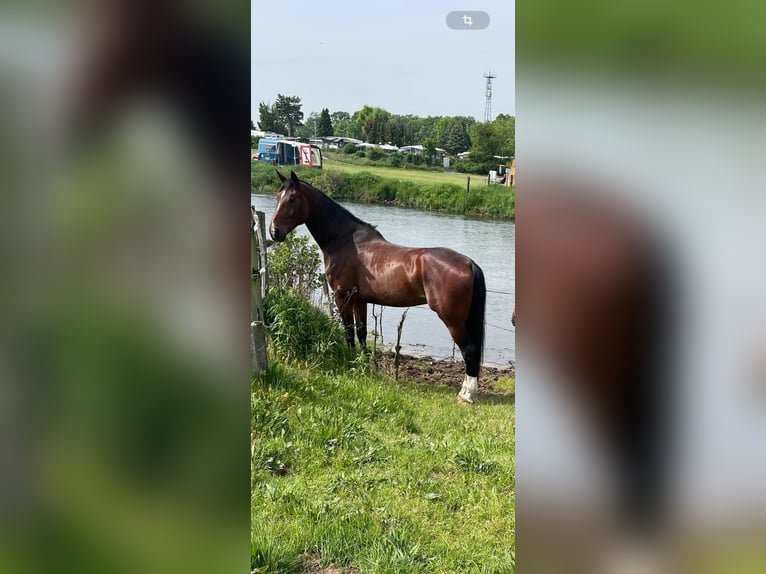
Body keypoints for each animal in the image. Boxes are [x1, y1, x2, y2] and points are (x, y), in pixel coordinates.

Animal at [270, 171, 486, 404]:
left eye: (292, 198)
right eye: (277, 196)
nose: (274, 232)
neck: (345, 241)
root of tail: (468, 263)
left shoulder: (342, 297)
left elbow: (348, 331)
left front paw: (350, 362)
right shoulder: (360, 300)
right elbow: (362, 332)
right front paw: (364, 365)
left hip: (452, 319)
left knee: (470, 351)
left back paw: (466, 395)